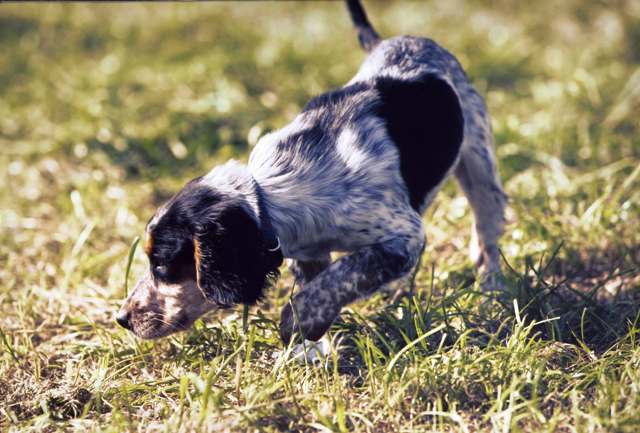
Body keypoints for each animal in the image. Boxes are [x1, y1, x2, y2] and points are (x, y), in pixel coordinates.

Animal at [115, 0, 504, 344]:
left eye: (161, 265)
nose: (121, 319)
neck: (270, 193)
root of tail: (390, 41)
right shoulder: (310, 256)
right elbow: (324, 285)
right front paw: (311, 348)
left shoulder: (403, 235)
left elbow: (345, 274)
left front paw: (296, 321)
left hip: (479, 161)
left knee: (488, 233)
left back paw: (491, 292)